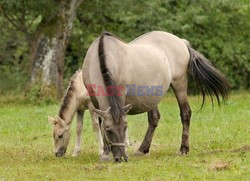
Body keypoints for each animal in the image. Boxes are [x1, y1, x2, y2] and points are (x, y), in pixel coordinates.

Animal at [81, 30, 229, 163]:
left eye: (125, 127)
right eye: (109, 130)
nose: (122, 158)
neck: (103, 56)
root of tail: (181, 42)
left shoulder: (120, 95)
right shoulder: (95, 99)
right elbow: (101, 121)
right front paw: (105, 153)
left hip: (179, 83)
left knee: (185, 113)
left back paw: (183, 149)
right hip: (152, 96)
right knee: (154, 119)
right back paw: (143, 149)